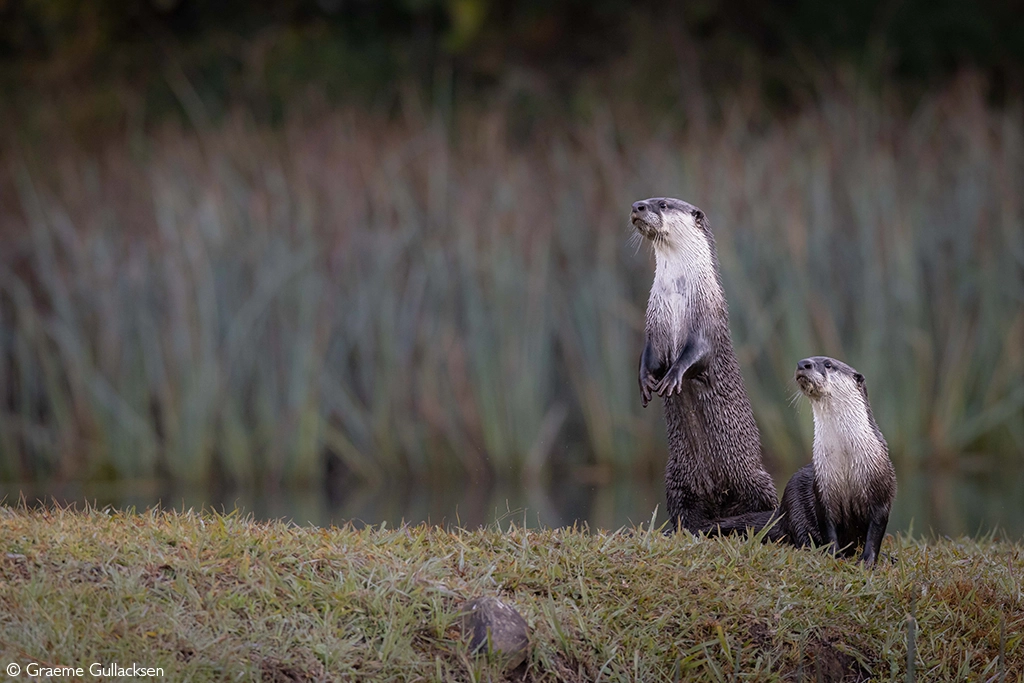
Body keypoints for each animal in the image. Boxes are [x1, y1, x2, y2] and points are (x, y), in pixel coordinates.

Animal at [631, 197, 777, 532]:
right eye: (645, 200)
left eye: (662, 203)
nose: (637, 205)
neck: (677, 293)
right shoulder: (654, 321)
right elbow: (648, 356)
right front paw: (645, 383)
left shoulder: (707, 321)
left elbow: (697, 355)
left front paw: (673, 377)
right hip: (677, 480)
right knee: (685, 511)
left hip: (757, 479)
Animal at [701, 356, 897, 565]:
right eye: (805, 361)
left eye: (828, 364)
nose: (804, 363)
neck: (845, 458)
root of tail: (781, 512)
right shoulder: (822, 490)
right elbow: (828, 527)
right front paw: (834, 555)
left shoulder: (881, 491)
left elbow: (875, 531)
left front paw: (868, 560)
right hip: (793, 504)